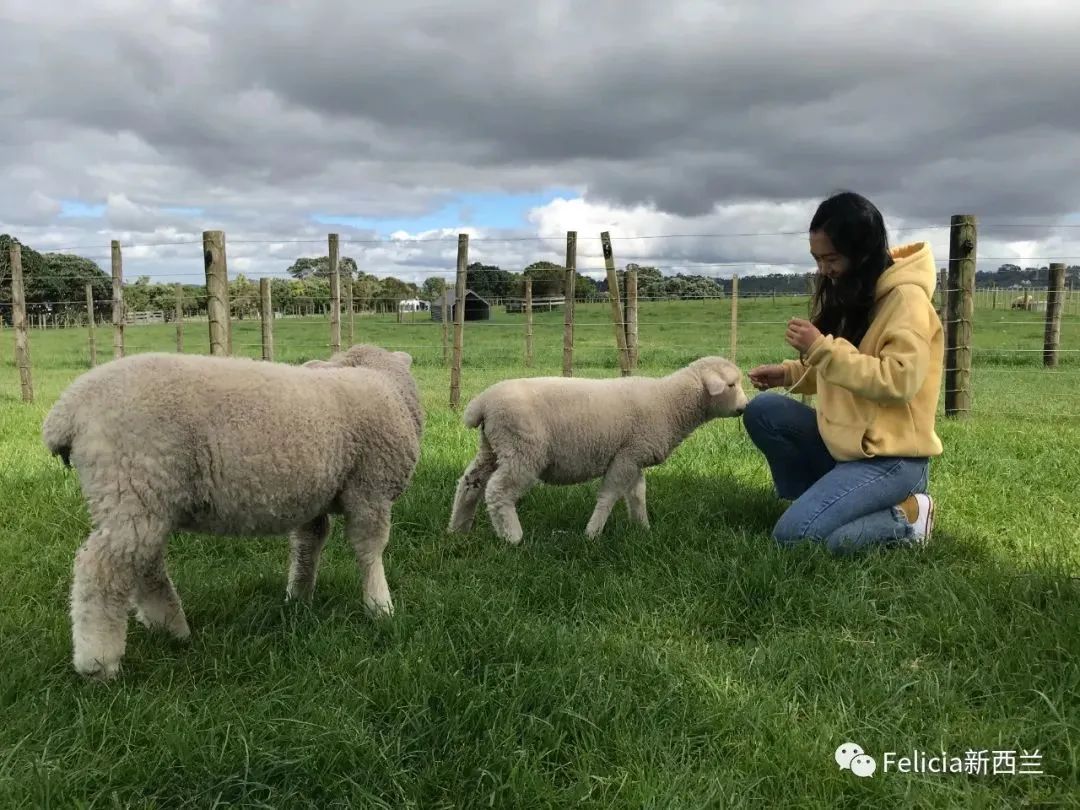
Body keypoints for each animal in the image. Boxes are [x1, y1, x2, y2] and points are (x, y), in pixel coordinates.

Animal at [41, 343, 421, 678]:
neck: (382, 382)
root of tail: (67, 410)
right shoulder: (370, 488)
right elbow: (369, 549)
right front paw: (380, 606)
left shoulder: (316, 495)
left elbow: (308, 544)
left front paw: (299, 597)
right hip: (133, 481)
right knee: (101, 569)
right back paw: (99, 662)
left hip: (142, 498)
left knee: (143, 564)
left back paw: (171, 627)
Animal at [442, 354, 747, 546]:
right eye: (731, 385)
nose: (744, 408)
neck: (671, 403)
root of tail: (482, 403)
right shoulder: (626, 456)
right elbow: (609, 495)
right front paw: (592, 534)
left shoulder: (634, 456)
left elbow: (637, 495)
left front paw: (643, 529)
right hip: (523, 449)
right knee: (498, 491)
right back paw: (512, 537)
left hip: (492, 447)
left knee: (470, 482)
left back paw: (457, 529)